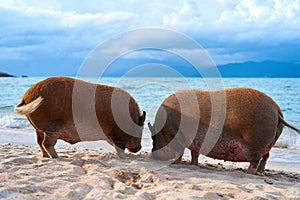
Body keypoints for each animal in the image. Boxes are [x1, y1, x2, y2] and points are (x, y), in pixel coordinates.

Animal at [15, 76, 146, 158]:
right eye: (141, 131)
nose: (139, 148)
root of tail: (26, 97)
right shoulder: (118, 136)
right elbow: (120, 149)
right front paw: (124, 157)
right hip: (51, 128)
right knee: (46, 143)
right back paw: (57, 157)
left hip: (39, 129)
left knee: (39, 142)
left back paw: (47, 156)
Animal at [149, 88, 298, 173]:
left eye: (153, 138)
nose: (152, 156)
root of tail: (277, 110)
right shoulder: (194, 143)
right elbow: (194, 153)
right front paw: (193, 165)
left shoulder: (175, 135)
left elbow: (180, 152)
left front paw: (176, 163)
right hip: (268, 144)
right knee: (266, 157)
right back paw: (260, 173)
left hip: (254, 144)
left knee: (257, 159)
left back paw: (249, 173)